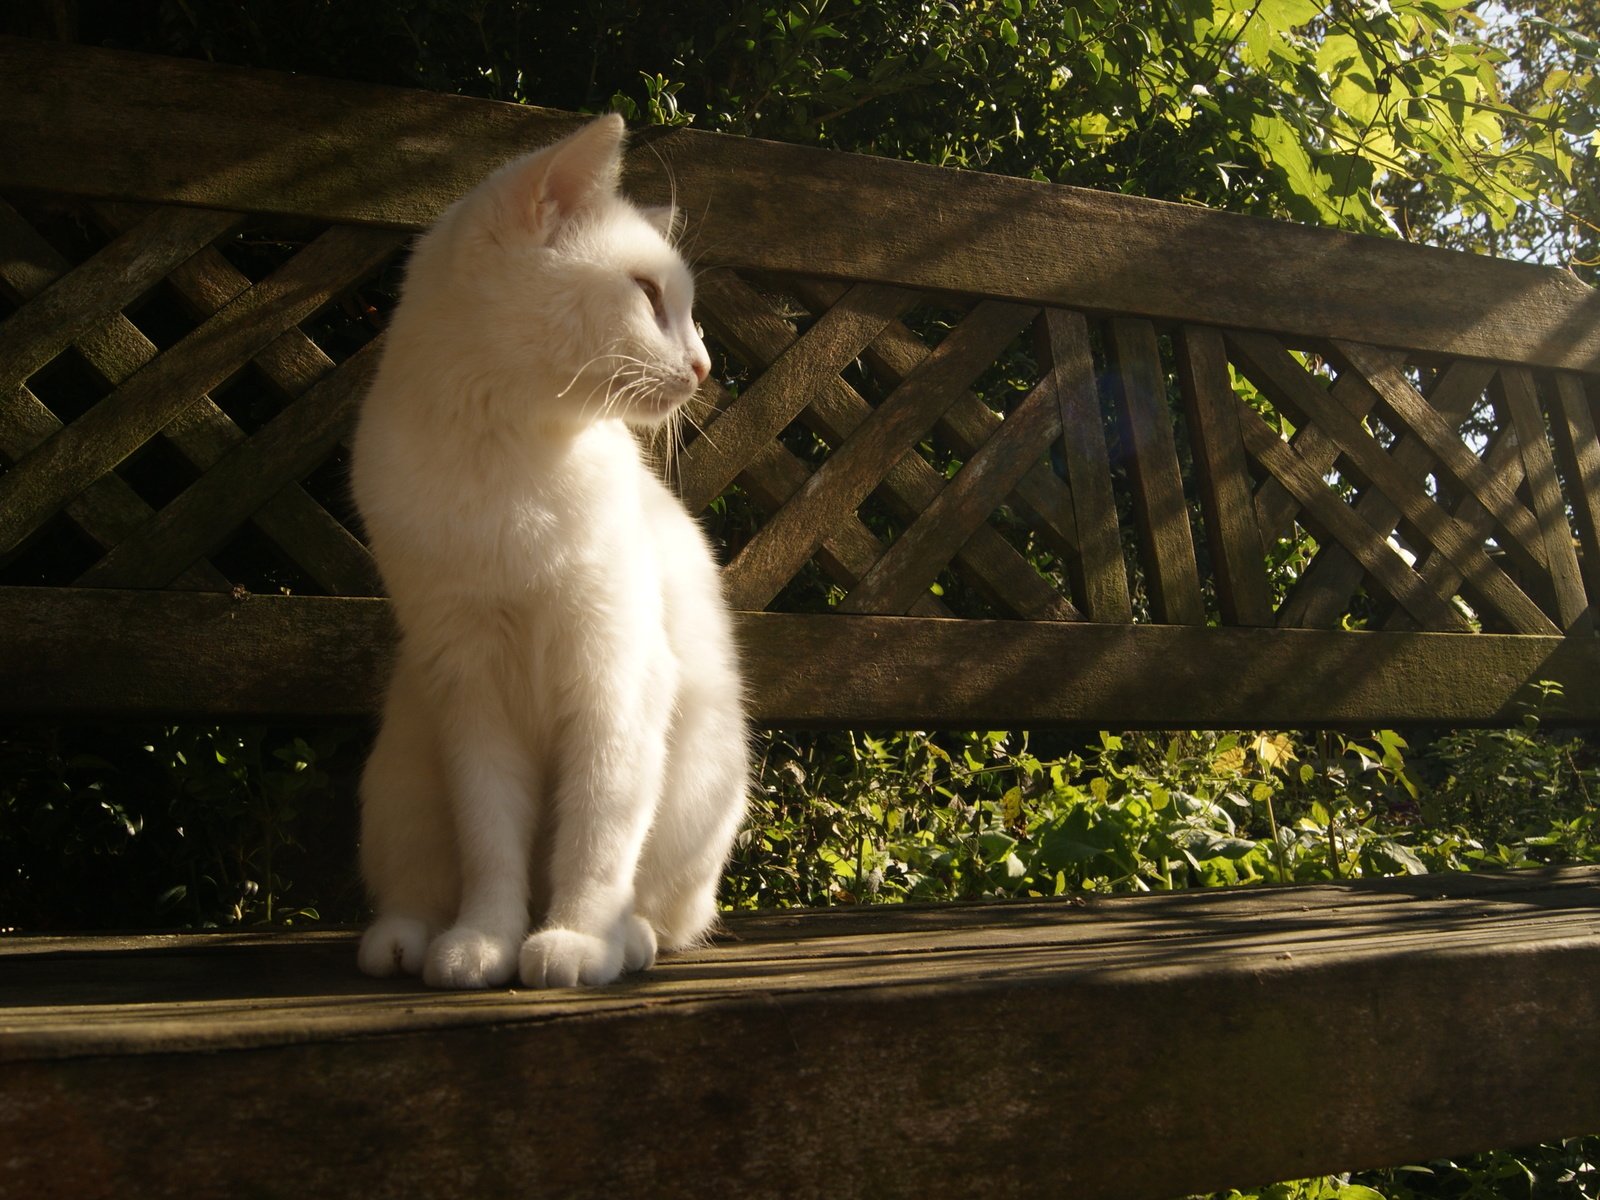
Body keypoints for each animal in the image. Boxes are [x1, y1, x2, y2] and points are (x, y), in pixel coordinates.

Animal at [350, 117, 748, 992]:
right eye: (649, 295)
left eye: (687, 310)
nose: (704, 366)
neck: (504, 459)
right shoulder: (469, 689)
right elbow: (492, 848)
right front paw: (483, 944)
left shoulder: (614, 680)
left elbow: (595, 840)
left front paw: (573, 942)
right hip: (404, 767)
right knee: (418, 884)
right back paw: (405, 942)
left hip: (699, 789)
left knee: (664, 910)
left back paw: (628, 941)